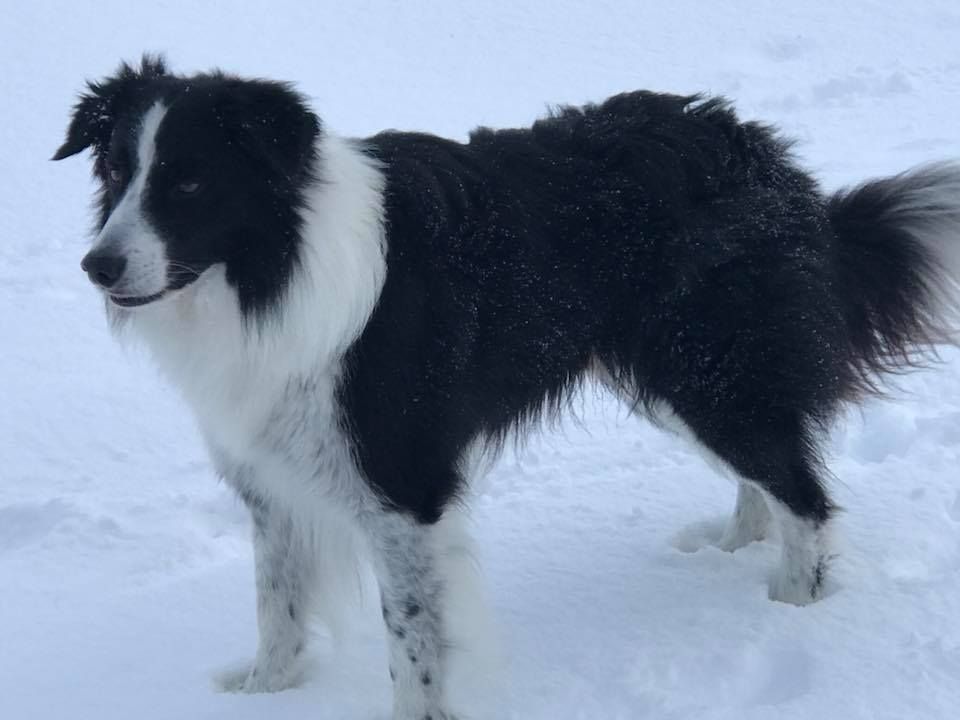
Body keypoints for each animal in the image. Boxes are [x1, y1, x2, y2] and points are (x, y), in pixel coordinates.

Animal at [56, 57, 956, 720]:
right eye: (116, 170)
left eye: (190, 181)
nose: (97, 266)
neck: (272, 265)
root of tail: (762, 155)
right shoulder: (272, 473)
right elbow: (276, 602)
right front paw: (262, 695)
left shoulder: (403, 487)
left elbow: (412, 641)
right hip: (682, 378)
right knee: (769, 472)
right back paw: (735, 545)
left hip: (708, 370)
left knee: (805, 494)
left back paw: (793, 612)